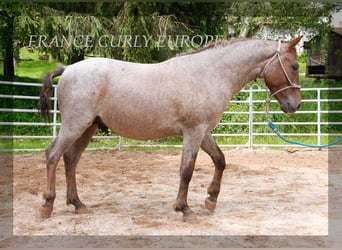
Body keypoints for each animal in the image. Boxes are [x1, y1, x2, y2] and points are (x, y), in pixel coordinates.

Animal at [38, 36, 304, 218]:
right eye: (294, 66)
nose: (296, 104)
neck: (209, 73)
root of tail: (68, 69)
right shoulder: (193, 132)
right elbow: (187, 170)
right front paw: (184, 208)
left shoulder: (203, 131)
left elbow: (220, 160)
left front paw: (211, 199)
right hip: (75, 125)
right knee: (53, 155)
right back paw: (48, 204)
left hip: (88, 128)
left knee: (70, 160)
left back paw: (77, 203)